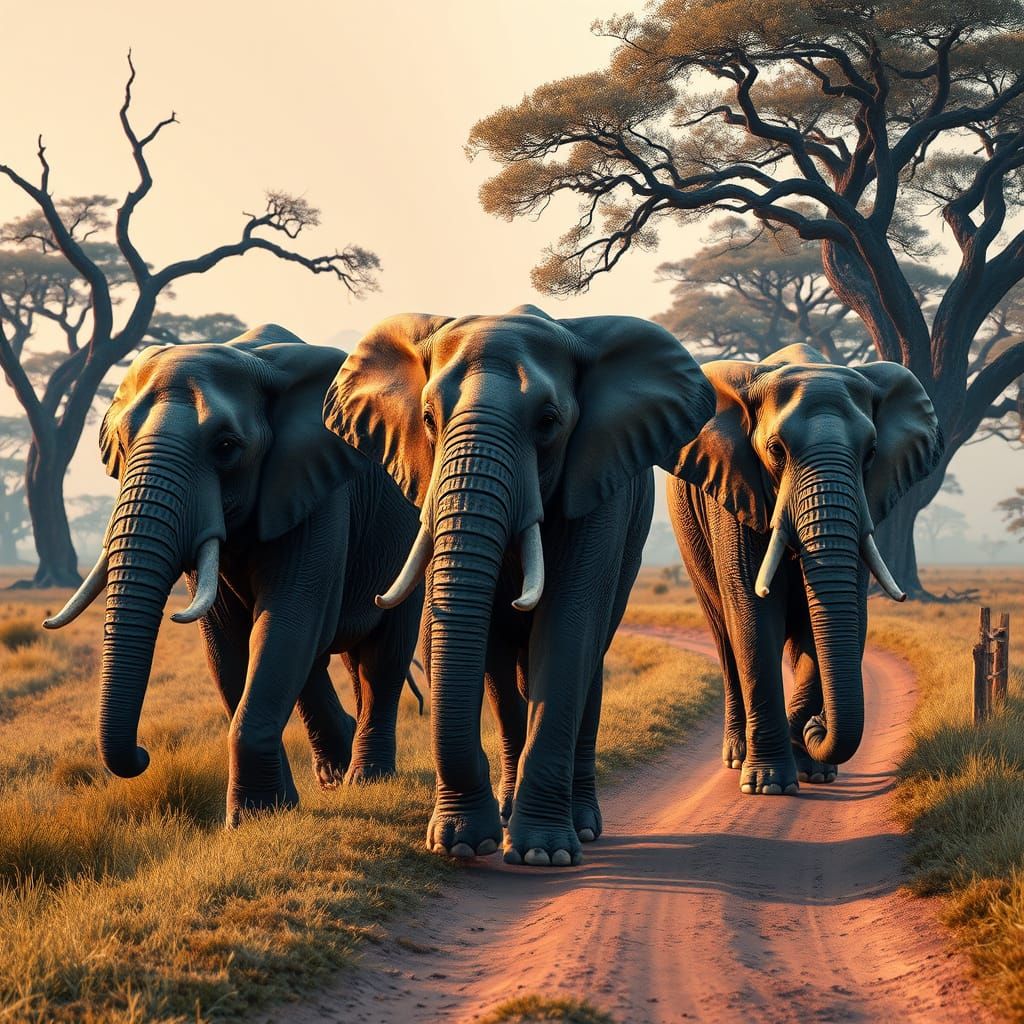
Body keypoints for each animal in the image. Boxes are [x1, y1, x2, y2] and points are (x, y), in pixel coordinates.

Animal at [44, 324, 424, 826]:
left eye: (226, 448)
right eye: (122, 445)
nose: (143, 755)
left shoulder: (318, 491)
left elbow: (289, 617)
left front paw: (254, 814)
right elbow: (228, 643)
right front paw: (268, 814)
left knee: (382, 657)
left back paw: (366, 779)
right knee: (327, 660)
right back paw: (335, 771)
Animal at [323, 305, 715, 866]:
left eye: (548, 422)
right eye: (428, 419)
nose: (452, 840)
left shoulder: (599, 485)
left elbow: (569, 627)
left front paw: (543, 854)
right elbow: (478, 643)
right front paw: (464, 841)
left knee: (590, 658)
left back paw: (582, 824)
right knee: (510, 676)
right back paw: (509, 811)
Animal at [667, 343, 942, 795]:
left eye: (871, 453)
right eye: (777, 450)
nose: (818, 727)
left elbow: (841, 617)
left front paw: (810, 767)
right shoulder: (738, 490)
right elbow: (753, 615)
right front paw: (766, 785)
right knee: (725, 638)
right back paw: (737, 757)